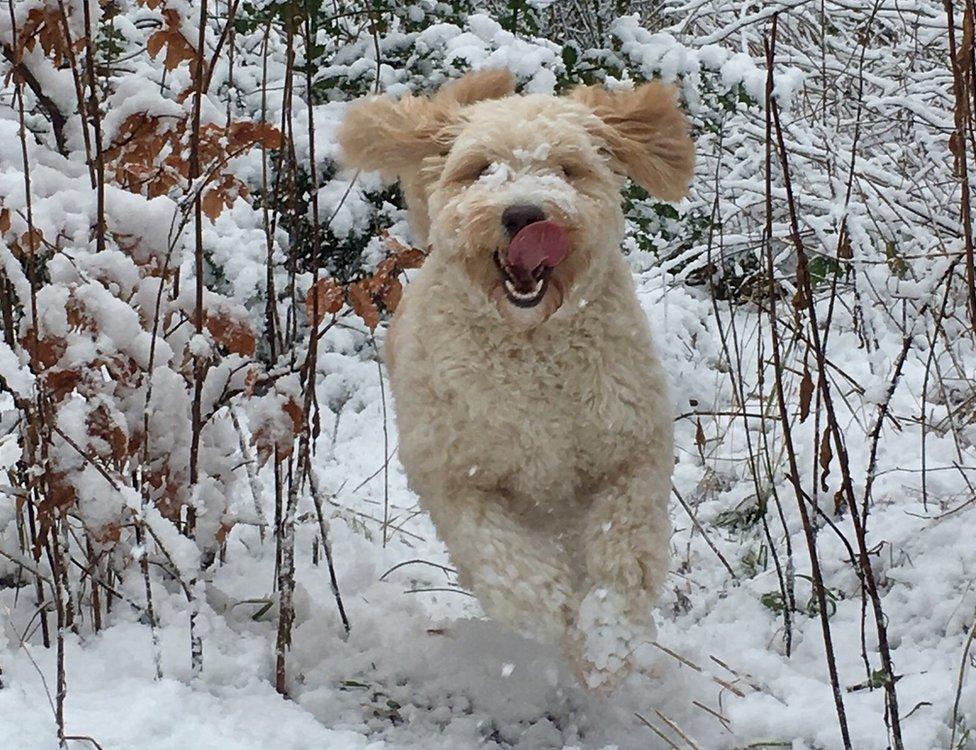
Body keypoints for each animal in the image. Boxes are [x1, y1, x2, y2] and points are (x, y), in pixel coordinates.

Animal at [342, 70, 692, 692]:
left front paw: (606, 641)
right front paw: (551, 606)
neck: (531, 350)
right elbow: (500, 556)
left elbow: (626, 545)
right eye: (480, 167)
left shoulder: (631, 449)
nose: (525, 214)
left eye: (567, 168)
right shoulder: (454, 476)